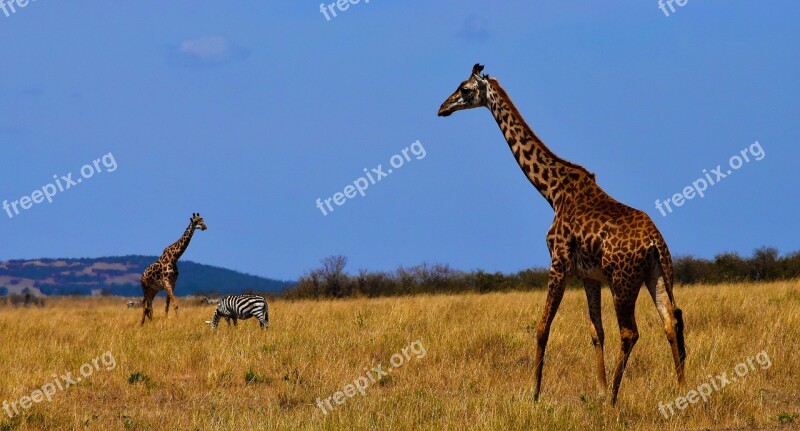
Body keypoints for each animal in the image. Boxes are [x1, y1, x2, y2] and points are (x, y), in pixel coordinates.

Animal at [438, 64, 688, 404]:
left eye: (464, 89)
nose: (442, 108)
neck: (553, 191)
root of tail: (654, 242)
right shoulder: (589, 276)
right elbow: (596, 331)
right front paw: (597, 389)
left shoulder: (558, 263)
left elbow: (542, 327)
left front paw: (534, 393)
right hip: (658, 273)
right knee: (669, 321)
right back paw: (682, 390)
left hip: (623, 280)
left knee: (630, 331)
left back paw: (614, 399)